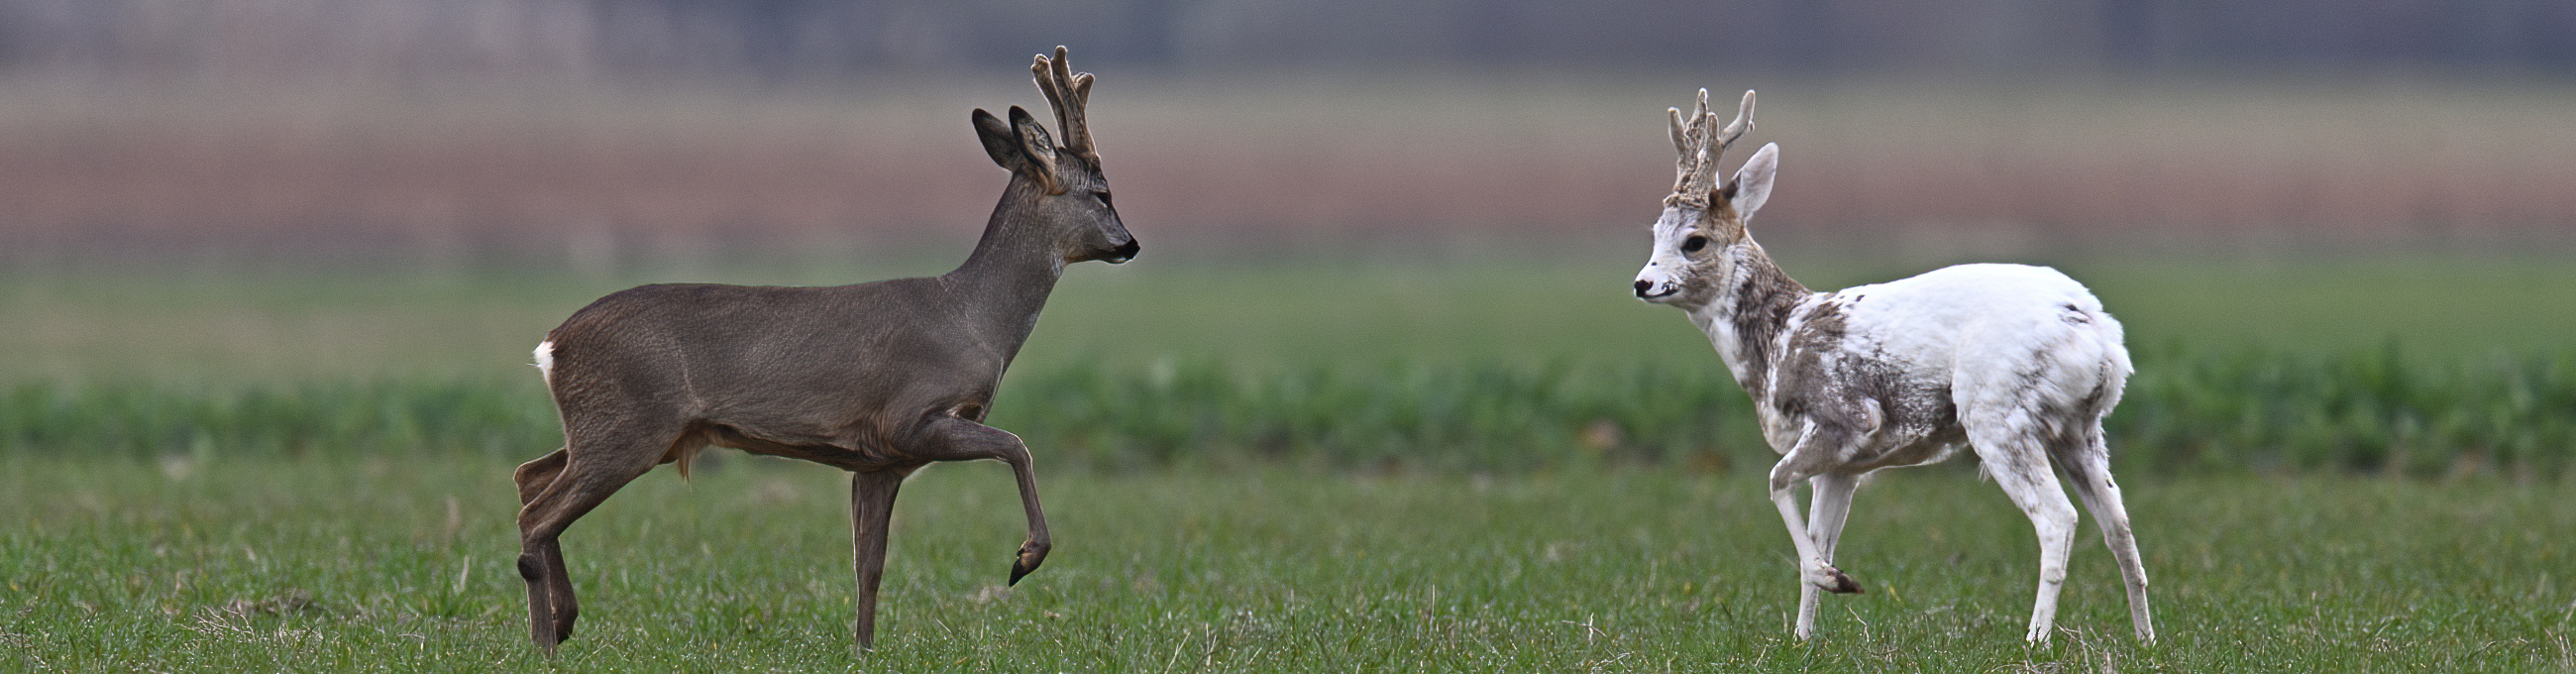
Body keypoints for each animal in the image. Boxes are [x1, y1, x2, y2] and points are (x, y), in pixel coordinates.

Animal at [512, 47, 1138, 653]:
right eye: (1103, 193)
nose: (1131, 244)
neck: (974, 318)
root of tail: (551, 346)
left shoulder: (880, 461)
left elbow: (870, 565)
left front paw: (864, 649)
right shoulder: (910, 418)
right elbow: (1017, 447)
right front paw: (1026, 558)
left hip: (623, 430)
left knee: (528, 477)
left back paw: (563, 622)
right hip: (630, 426)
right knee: (537, 516)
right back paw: (544, 643)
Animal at [1628, 89, 2153, 642]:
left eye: (1694, 240)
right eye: (1655, 233)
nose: (1643, 283)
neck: (1780, 336)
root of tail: (2096, 333)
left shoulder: (1846, 418)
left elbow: (1775, 481)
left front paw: (1840, 581)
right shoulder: (1843, 467)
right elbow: (1819, 536)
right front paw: (1803, 637)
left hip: (1997, 416)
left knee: (2058, 519)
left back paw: (2035, 640)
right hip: (2079, 430)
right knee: (2119, 526)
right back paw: (2144, 639)